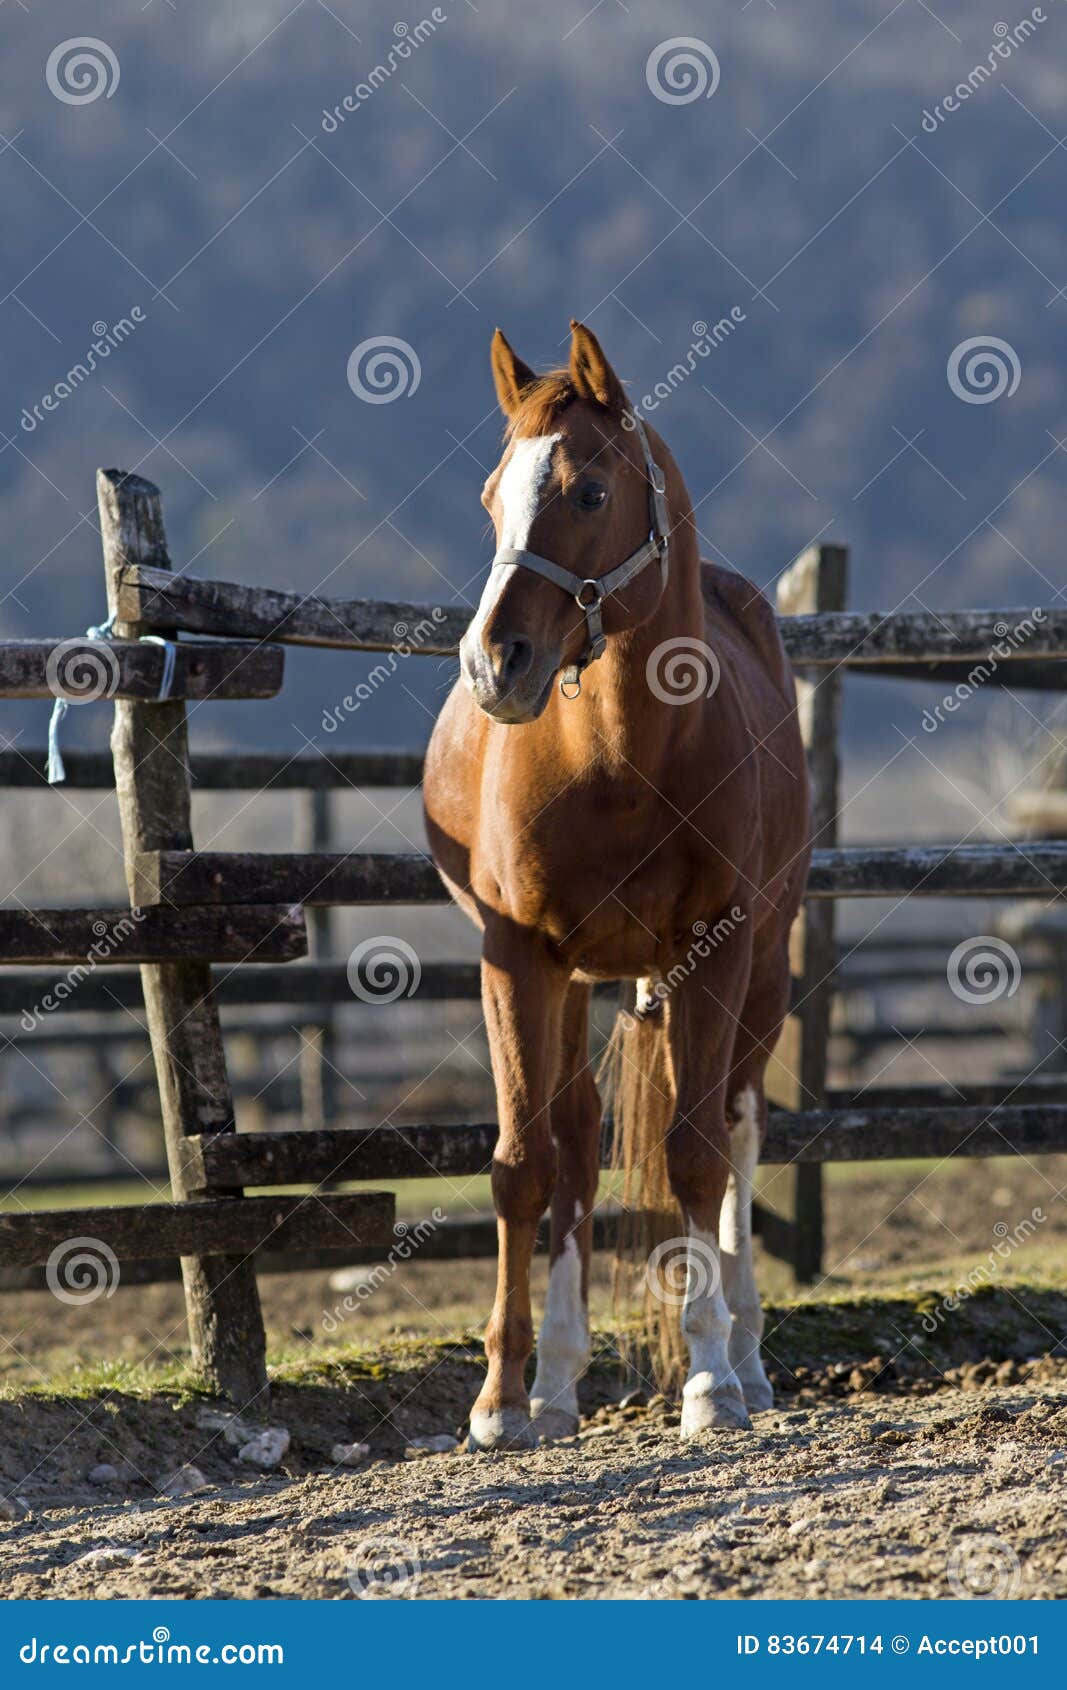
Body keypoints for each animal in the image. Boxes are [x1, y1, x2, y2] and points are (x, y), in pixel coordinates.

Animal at [424, 322, 808, 1446]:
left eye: (588, 492)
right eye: (489, 496)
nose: (492, 664)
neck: (615, 755)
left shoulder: (716, 949)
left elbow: (694, 1155)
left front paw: (708, 1379)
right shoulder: (515, 955)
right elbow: (525, 1165)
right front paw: (502, 1397)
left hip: (760, 969)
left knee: (735, 1131)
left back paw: (746, 1357)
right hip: (580, 980)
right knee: (571, 1145)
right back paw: (557, 1381)